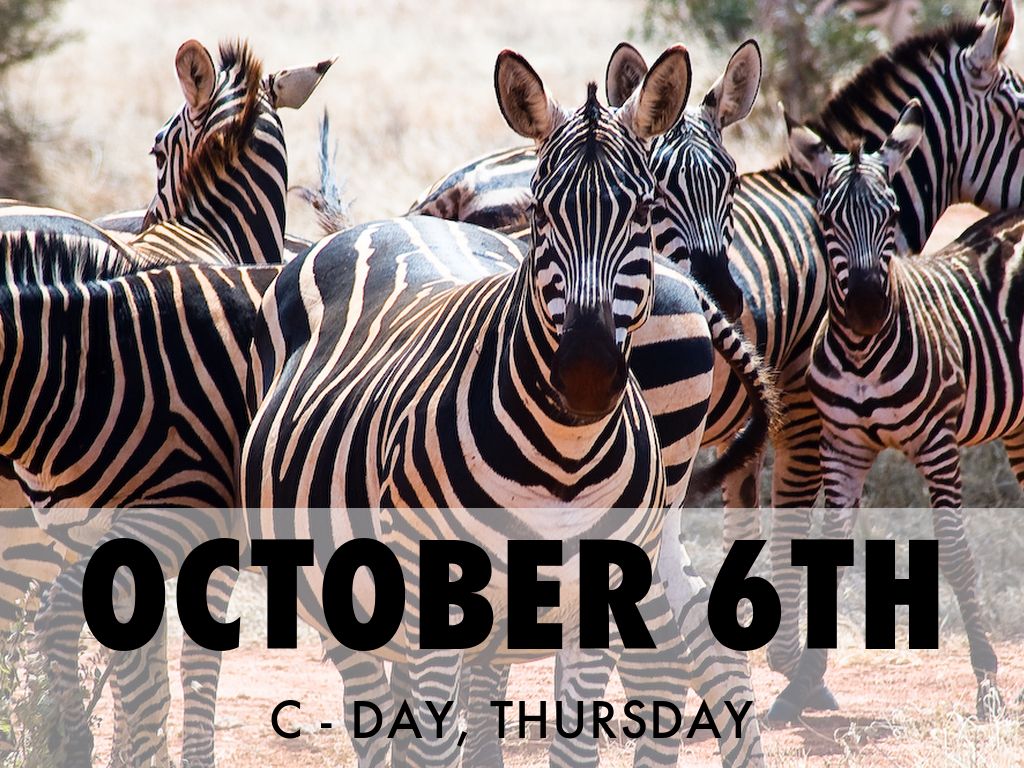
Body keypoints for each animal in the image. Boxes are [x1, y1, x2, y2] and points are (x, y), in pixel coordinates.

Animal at [783, 99, 1007, 722]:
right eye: (826, 218)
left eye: (892, 215)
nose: (865, 307)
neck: (862, 353)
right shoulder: (841, 446)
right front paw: (802, 683)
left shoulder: (937, 442)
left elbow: (956, 553)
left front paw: (987, 683)